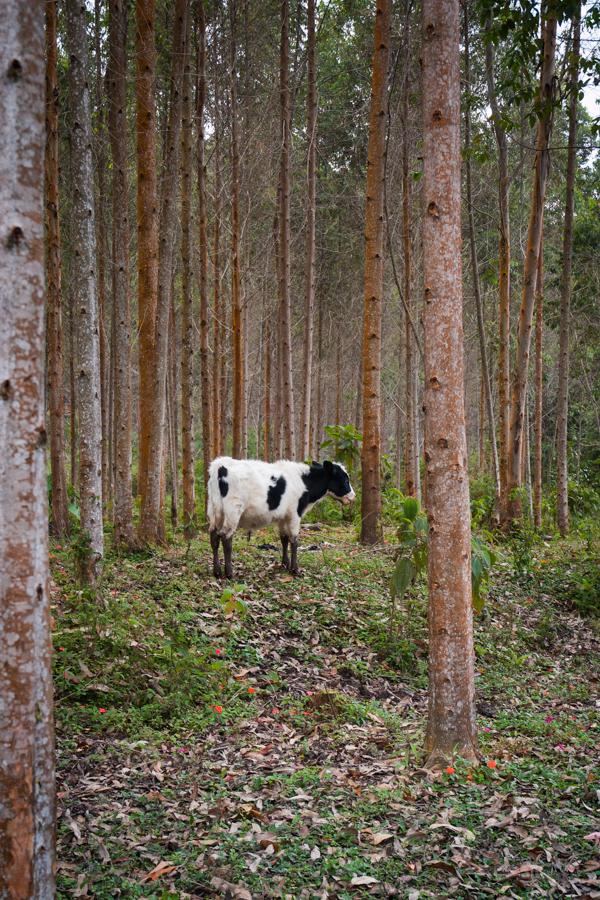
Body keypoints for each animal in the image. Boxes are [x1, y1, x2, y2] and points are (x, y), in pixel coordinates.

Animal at [207, 458, 356, 576]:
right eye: (344, 478)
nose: (353, 496)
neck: (304, 482)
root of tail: (220, 465)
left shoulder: (283, 516)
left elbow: (284, 539)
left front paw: (285, 564)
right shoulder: (295, 514)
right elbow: (294, 541)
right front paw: (295, 569)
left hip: (215, 512)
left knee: (214, 537)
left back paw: (217, 571)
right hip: (233, 511)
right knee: (226, 538)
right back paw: (229, 573)